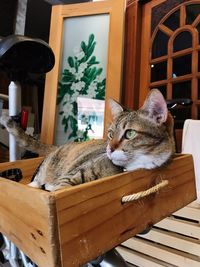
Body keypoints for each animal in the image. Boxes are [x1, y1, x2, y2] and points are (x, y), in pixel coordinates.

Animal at [0, 89, 174, 192]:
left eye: (130, 133)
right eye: (110, 134)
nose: (109, 149)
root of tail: (59, 146)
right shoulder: (70, 177)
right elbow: (61, 186)